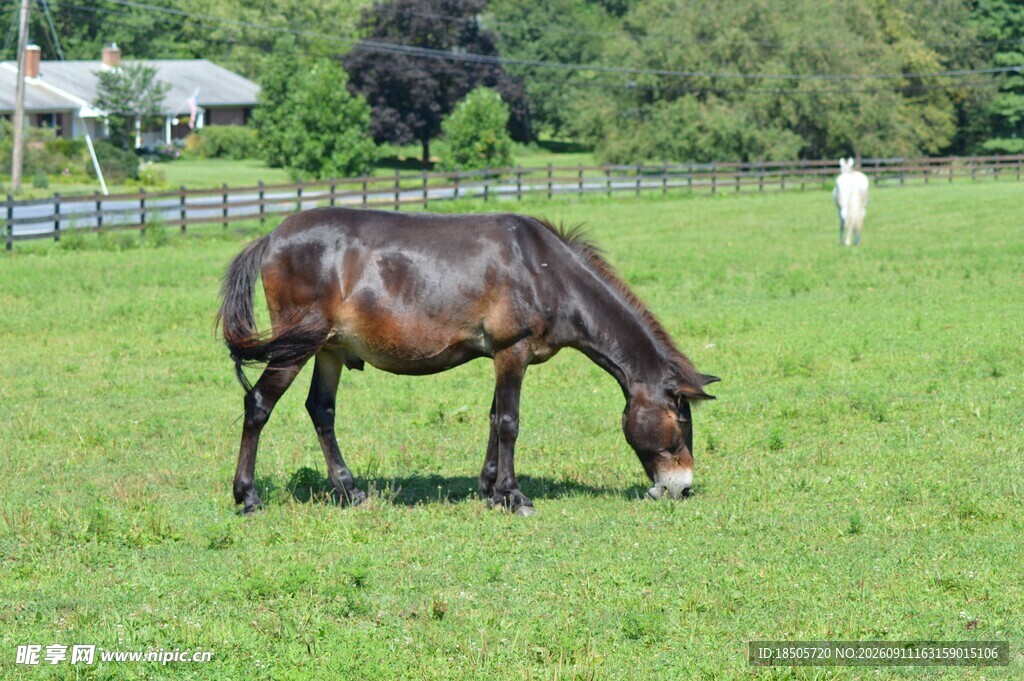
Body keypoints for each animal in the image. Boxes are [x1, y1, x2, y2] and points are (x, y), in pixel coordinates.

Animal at [217, 208, 718, 516]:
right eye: (681, 420)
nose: (682, 487)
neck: (544, 270)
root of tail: (271, 236)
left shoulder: (502, 356)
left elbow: (495, 418)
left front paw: (491, 489)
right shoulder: (512, 351)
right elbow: (510, 422)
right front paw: (514, 497)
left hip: (329, 351)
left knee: (321, 411)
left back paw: (349, 489)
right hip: (296, 348)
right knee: (258, 406)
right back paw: (248, 496)